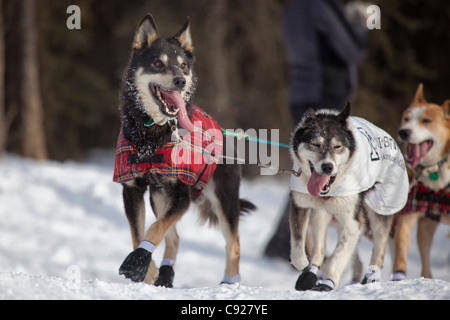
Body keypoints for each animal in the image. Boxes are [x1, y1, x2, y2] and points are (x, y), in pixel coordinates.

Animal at [114, 13, 255, 286]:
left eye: (183, 66)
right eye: (158, 63)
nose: (180, 80)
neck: (153, 134)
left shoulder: (181, 195)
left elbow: (154, 229)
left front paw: (139, 262)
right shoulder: (132, 190)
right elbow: (138, 232)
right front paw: (146, 270)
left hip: (223, 198)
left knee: (233, 243)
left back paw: (229, 282)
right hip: (159, 196)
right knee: (175, 238)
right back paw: (164, 274)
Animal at [290, 104, 410, 292]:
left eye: (338, 146)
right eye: (315, 144)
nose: (327, 167)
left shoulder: (353, 222)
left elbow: (339, 257)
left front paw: (328, 282)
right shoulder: (300, 204)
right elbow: (297, 241)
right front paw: (303, 263)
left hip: (379, 209)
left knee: (380, 247)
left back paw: (372, 276)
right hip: (321, 214)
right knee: (320, 248)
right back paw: (311, 273)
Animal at [394, 84, 450, 280]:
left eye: (426, 120)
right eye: (406, 119)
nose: (403, 131)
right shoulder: (409, 211)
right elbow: (401, 246)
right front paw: (399, 274)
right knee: (426, 265)